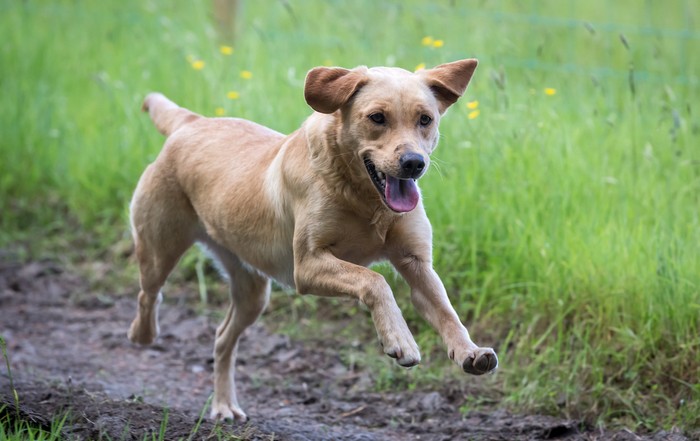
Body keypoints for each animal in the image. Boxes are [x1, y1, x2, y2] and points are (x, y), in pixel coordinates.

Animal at [127, 58, 498, 420]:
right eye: (377, 118)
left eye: (425, 119)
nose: (414, 163)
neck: (365, 200)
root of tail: (192, 122)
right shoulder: (306, 267)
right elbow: (374, 280)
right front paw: (400, 340)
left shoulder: (416, 263)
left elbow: (446, 312)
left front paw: (470, 351)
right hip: (160, 247)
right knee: (149, 294)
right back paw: (142, 334)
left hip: (252, 292)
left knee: (222, 339)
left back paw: (223, 405)